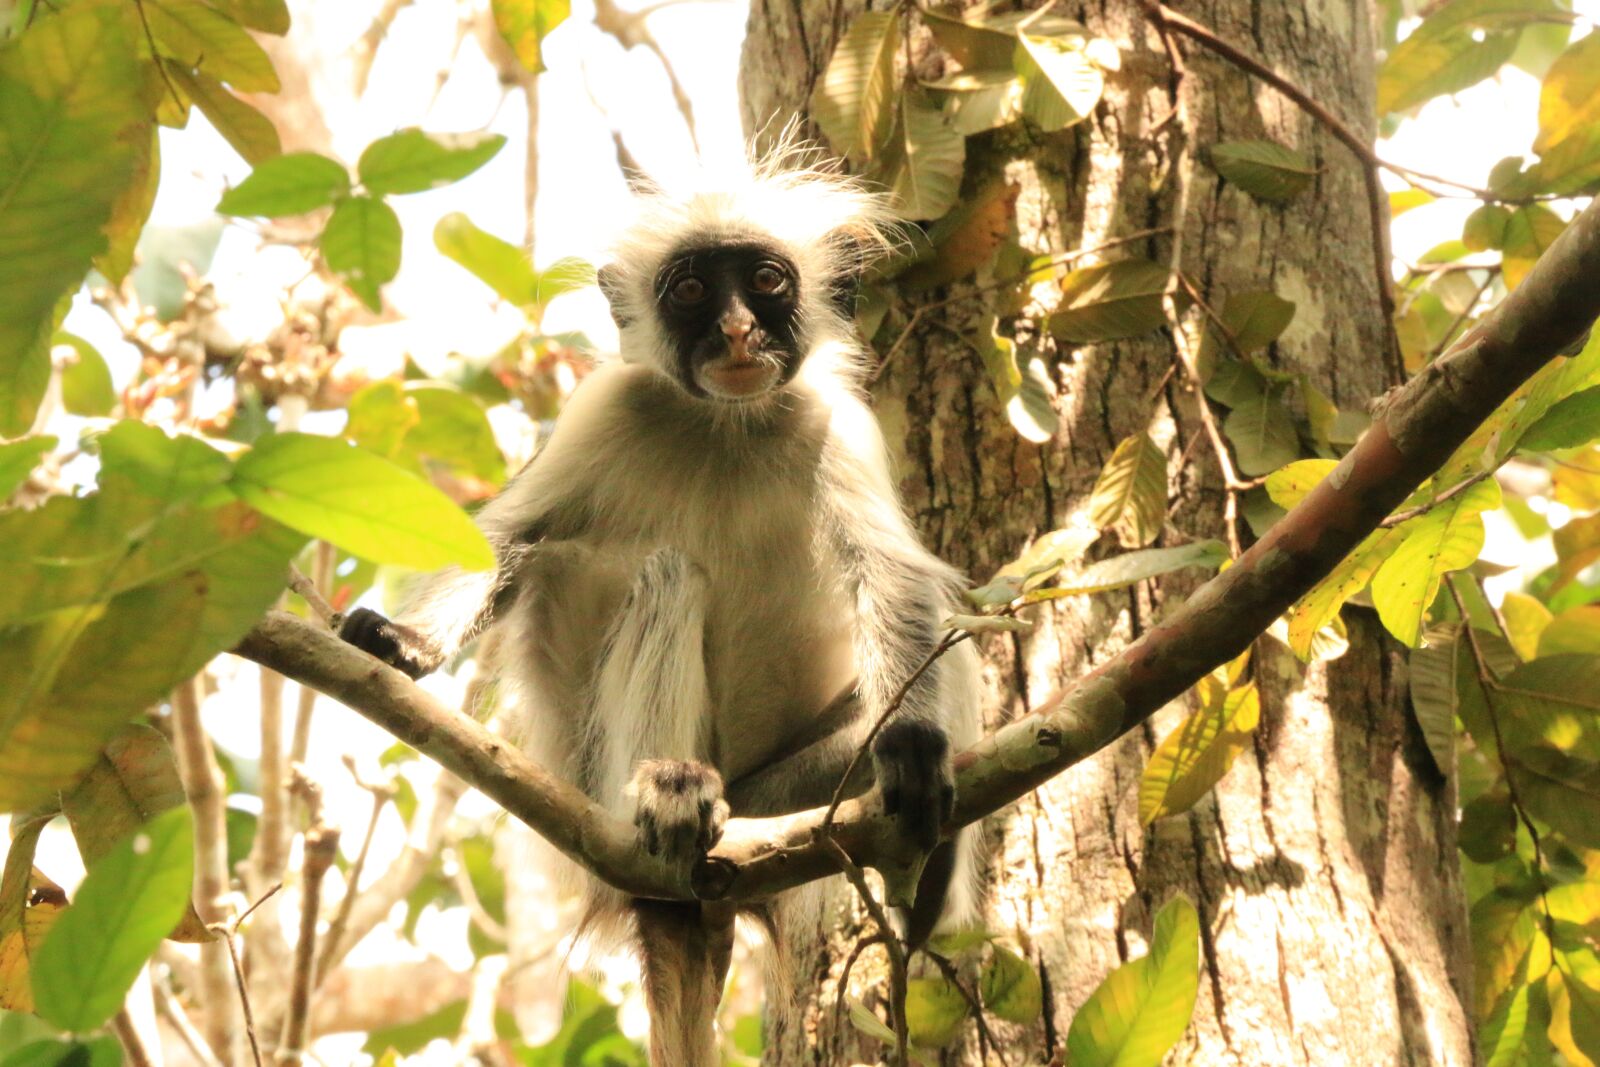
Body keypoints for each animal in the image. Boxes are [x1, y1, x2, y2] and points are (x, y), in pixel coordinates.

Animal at [338, 150, 983, 1065]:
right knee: (668, 573)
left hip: (780, 793)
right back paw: (673, 793)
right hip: (599, 774)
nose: (740, 331)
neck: (725, 425)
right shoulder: (606, 406)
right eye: (691, 291)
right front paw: (401, 640)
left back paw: (919, 885)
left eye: (765, 281)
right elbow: (506, 539)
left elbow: (892, 576)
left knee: (952, 646)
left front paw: (915, 745)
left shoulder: (836, 424)